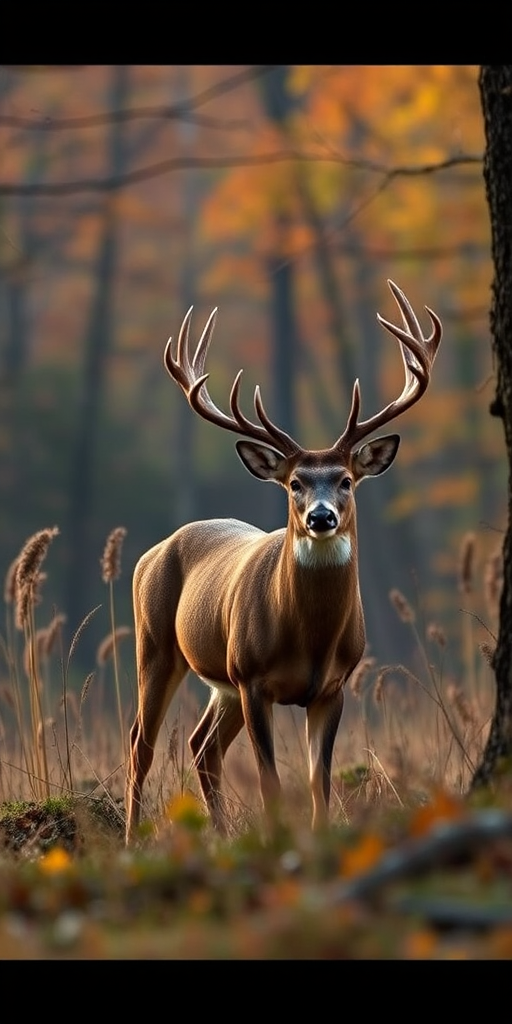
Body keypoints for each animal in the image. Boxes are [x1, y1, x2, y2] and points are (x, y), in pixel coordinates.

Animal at [125, 280, 442, 844]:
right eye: (295, 482)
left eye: (346, 479)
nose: (320, 516)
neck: (310, 637)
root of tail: (151, 553)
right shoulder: (252, 678)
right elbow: (270, 781)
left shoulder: (333, 687)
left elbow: (320, 783)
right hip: (159, 644)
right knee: (142, 742)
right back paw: (129, 839)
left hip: (220, 680)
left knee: (202, 746)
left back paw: (222, 833)